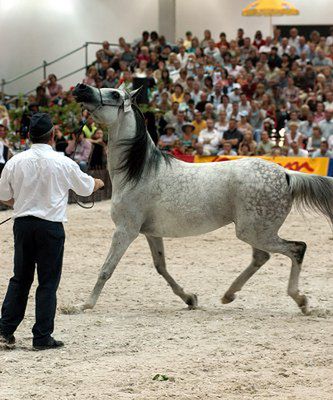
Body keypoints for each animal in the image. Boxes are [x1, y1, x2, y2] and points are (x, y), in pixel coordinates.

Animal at [72, 84, 332, 316]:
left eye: (115, 94)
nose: (80, 88)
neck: (139, 172)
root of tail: (286, 174)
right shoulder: (150, 232)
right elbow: (161, 267)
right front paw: (190, 299)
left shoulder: (126, 230)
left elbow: (106, 269)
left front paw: (84, 305)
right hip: (255, 231)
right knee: (262, 257)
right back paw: (229, 295)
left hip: (255, 232)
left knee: (297, 249)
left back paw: (301, 301)